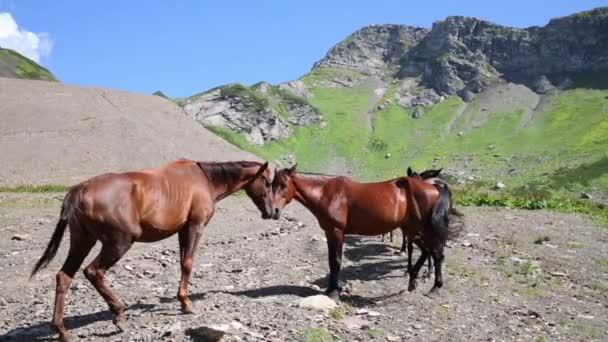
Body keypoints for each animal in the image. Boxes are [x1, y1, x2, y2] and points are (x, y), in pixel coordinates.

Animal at [29, 159, 274, 340]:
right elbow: (188, 264)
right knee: (93, 272)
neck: (204, 179)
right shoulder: (195, 227)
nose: (272, 212)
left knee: (64, 277)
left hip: (82, 242)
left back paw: (62, 330)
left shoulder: (182, 231)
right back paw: (119, 315)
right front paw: (186, 303)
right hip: (118, 243)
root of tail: (79, 190)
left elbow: (182, 263)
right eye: (268, 182)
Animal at [274, 165, 458, 300]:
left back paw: (435, 286)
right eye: (271, 184)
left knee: (436, 254)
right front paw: (333, 288)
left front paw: (333, 292)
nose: (273, 211)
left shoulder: (336, 232)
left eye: (284, 185)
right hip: (413, 229)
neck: (327, 193)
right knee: (427, 251)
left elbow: (336, 261)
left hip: (424, 230)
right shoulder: (329, 233)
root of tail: (434, 187)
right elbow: (332, 261)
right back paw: (413, 281)